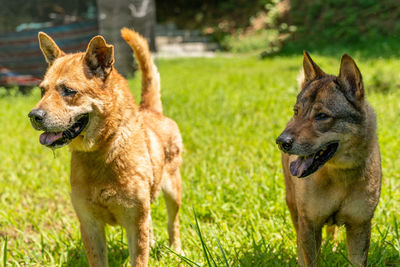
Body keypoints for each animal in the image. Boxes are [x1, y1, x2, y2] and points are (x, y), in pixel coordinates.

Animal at [28, 28, 183, 266]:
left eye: (68, 90)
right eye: (42, 91)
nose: (34, 116)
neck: (101, 153)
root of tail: (151, 110)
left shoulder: (134, 222)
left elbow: (140, 258)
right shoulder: (89, 224)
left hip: (173, 192)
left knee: (172, 223)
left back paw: (177, 249)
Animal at [276, 52, 380, 267]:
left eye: (322, 116)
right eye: (296, 111)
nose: (281, 141)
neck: (339, 177)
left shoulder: (360, 225)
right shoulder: (309, 224)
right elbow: (309, 257)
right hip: (293, 205)